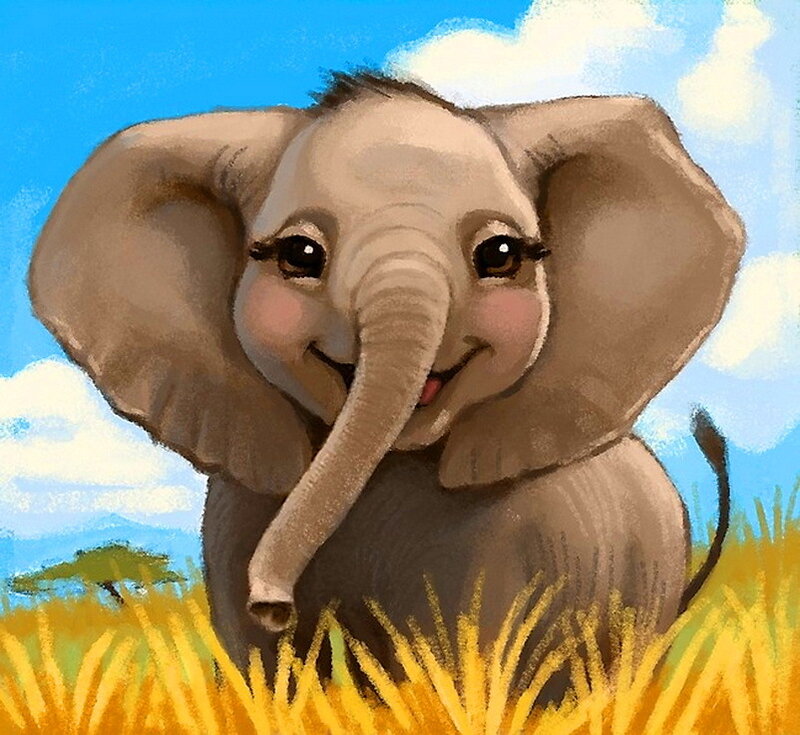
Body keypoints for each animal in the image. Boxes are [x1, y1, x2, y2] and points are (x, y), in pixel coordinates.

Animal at [28, 71, 744, 699]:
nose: (273, 603)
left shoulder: (521, 538)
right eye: (299, 256)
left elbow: (474, 653)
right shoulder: (237, 516)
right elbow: (264, 670)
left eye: (501, 256)